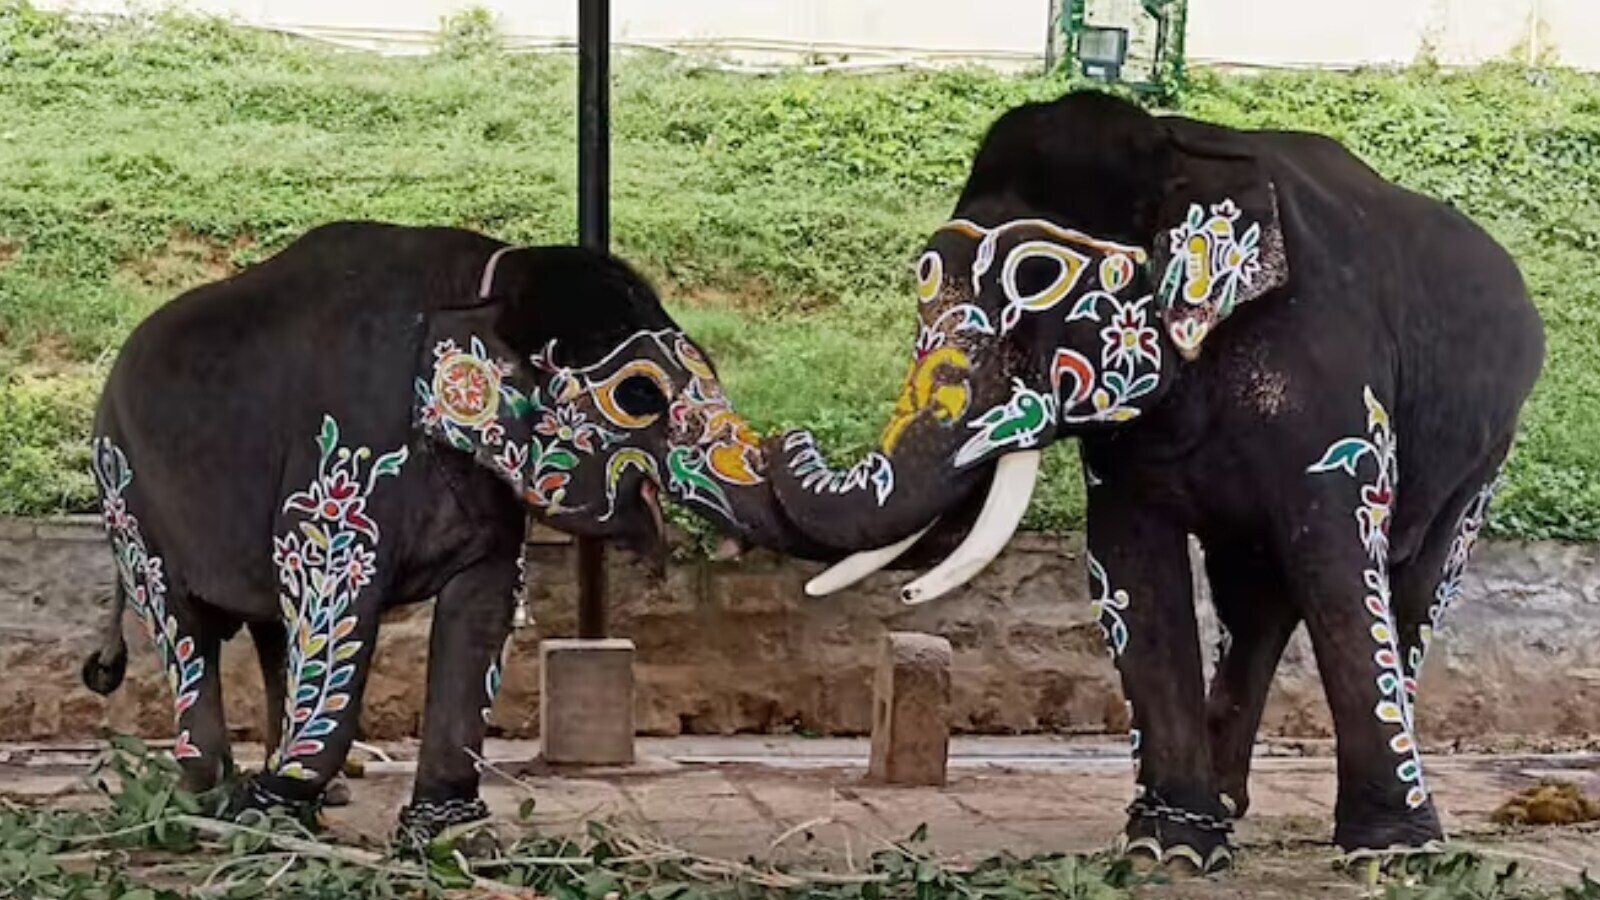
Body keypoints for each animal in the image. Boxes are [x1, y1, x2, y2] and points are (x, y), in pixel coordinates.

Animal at [79, 220, 824, 843]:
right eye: (640, 396)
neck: (485, 282)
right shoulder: (343, 451)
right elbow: (334, 598)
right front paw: (274, 812)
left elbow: (482, 604)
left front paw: (451, 837)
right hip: (127, 492)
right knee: (184, 625)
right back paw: (213, 807)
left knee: (268, 632)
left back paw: (301, 801)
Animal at [770, 89, 1545, 869]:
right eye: (924, 275)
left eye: (1036, 276)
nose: (785, 438)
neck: (1179, 155)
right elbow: (1129, 566)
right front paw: (1167, 849)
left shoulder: (1337, 386)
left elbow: (1338, 562)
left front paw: (1390, 854)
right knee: (1254, 603)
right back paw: (1227, 807)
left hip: (1486, 456)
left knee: (1412, 587)